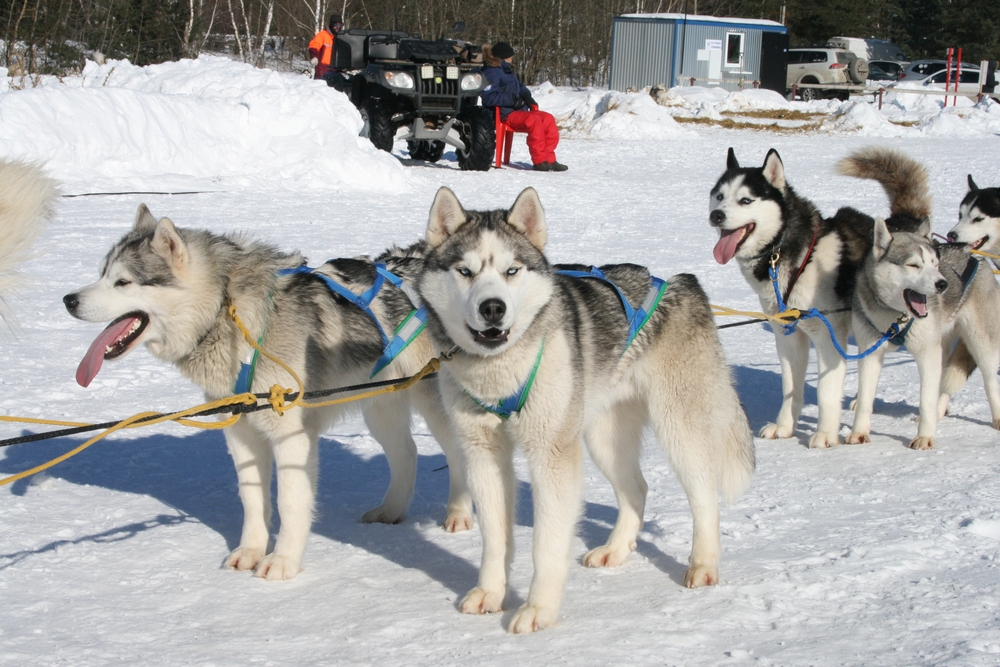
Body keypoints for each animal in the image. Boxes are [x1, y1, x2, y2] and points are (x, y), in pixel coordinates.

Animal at [65, 206, 472, 580]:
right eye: (102, 274)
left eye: (123, 281)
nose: (69, 299)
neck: (230, 315)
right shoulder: (241, 434)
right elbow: (252, 499)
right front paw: (250, 551)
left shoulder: (292, 437)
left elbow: (290, 502)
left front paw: (283, 561)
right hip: (379, 405)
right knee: (407, 453)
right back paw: (391, 510)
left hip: (433, 403)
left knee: (456, 454)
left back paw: (458, 514)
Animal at [414, 187, 752, 632]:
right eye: (465, 271)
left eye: (512, 270)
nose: (492, 308)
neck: (499, 371)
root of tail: (681, 282)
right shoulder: (483, 454)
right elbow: (495, 538)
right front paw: (490, 593)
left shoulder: (552, 455)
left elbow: (546, 543)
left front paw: (539, 608)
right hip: (603, 436)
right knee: (636, 489)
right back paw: (616, 549)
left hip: (678, 427)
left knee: (704, 496)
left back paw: (703, 565)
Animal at [712, 147, 928, 448]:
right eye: (719, 196)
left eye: (745, 200)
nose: (716, 215)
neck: (799, 257)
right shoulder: (788, 337)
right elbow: (791, 388)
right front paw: (784, 427)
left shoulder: (829, 337)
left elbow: (827, 392)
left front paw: (825, 434)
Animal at [844, 218, 1000, 448]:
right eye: (913, 265)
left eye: (935, 264)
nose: (942, 283)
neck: (897, 319)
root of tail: (973, 255)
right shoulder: (870, 352)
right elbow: (864, 399)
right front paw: (859, 433)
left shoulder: (927, 354)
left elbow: (926, 399)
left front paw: (924, 437)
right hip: (942, 346)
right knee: (943, 382)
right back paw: (938, 412)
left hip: (980, 343)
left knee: (989, 381)